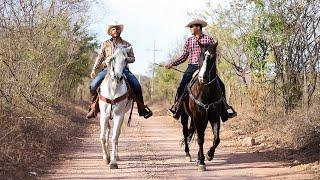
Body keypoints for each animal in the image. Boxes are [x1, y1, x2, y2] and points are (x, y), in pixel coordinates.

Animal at [181, 41, 224, 171]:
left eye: (213, 56)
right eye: (200, 56)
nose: (202, 77)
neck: (206, 91)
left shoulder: (215, 117)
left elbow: (216, 139)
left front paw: (209, 155)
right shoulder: (197, 117)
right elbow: (200, 139)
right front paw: (201, 162)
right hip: (185, 116)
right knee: (185, 133)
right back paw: (188, 154)